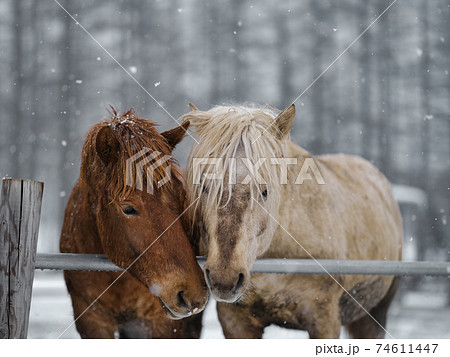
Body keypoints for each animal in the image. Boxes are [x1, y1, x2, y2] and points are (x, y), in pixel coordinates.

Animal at [185, 102, 402, 336]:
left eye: (265, 191)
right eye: (204, 186)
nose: (224, 278)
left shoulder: (324, 319)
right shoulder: (235, 320)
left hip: (374, 314)